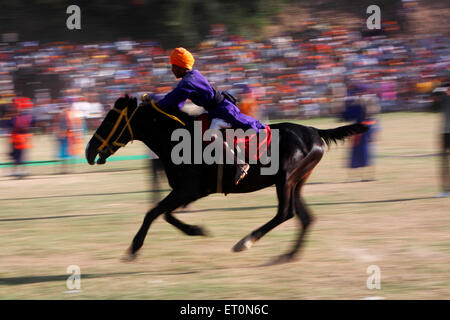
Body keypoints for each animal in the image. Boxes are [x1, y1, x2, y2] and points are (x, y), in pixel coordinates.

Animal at [85, 95, 370, 264]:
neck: (176, 138)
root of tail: (314, 131)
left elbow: (153, 212)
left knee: (285, 213)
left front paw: (134, 248)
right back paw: (288, 255)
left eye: (109, 119)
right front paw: (196, 230)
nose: (89, 151)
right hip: (297, 182)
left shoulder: (188, 190)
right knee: (306, 217)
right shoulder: (188, 191)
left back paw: (245, 242)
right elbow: (164, 213)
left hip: (286, 179)